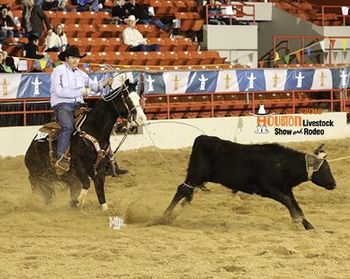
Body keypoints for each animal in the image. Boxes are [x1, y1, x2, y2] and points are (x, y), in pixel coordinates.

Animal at [23, 77, 146, 211]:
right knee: (44, 191)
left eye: (138, 98)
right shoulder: (78, 163)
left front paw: (102, 208)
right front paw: (78, 201)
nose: (142, 118)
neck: (94, 129)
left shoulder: (99, 169)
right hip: (39, 176)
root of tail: (30, 147)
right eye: (128, 98)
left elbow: (99, 190)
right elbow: (86, 183)